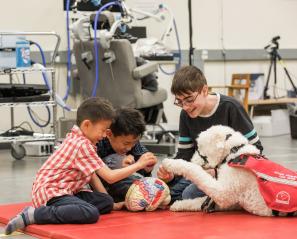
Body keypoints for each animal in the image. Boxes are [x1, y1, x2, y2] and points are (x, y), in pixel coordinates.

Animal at [162, 125, 296, 217]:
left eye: (199, 148)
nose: (193, 160)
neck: (234, 152)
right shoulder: (230, 201)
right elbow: (198, 201)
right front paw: (179, 205)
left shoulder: (222, 193)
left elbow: (196, 172)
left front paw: (171, 163)